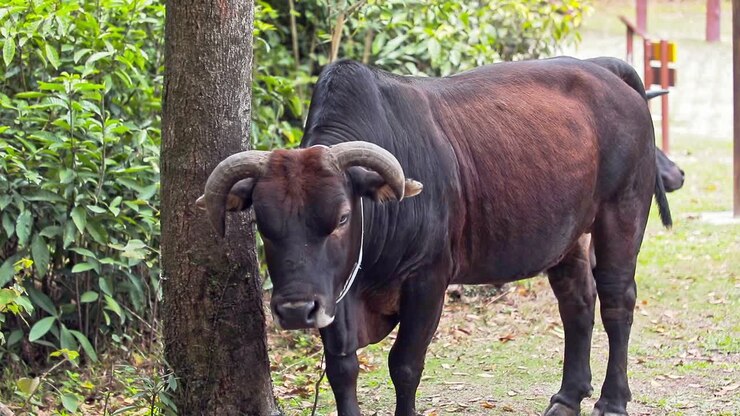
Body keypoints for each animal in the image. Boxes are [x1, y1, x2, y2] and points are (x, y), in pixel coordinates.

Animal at [197, 56, 672, 416]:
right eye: (263, 223)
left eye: (343, 217)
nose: (296, 309)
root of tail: (605, 70)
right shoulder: (336, 297)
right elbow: (342, 368)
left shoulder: (427, 280)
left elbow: (405, 364)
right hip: (568, 238)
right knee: (577, 303)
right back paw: (569, 396)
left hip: (622, 213)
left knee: (617, 301)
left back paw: (612, 400)